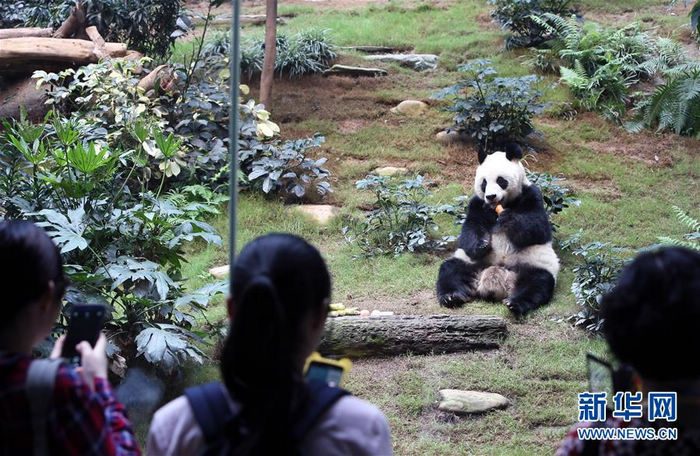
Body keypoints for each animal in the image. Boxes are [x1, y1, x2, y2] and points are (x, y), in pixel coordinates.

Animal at [434, 144, 560, 316]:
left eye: (501, 180)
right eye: (484, 183)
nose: (491, 196)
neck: (500, 206)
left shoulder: (532, 195)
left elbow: (539, 229)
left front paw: (509, 219)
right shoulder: (477, 204)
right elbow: (469, 230)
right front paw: (482, 245)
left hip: (532, 263)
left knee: (537, 283)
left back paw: (515, 303)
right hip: (471, 263)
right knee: (451, 270)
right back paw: (451, 297)